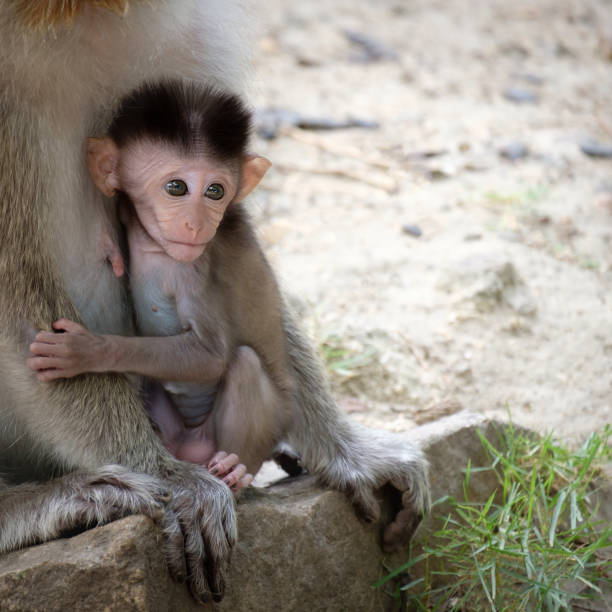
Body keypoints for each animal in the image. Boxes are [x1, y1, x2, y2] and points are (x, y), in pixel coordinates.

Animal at [26, 81, 292, 492]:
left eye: (216, 191)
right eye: (176, 187)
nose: (197, 224)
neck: (155, 247)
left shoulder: (191, 271)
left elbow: (211, 354)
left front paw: (88, 350)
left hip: (223, 440)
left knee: (245, 365)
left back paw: (235, 472)